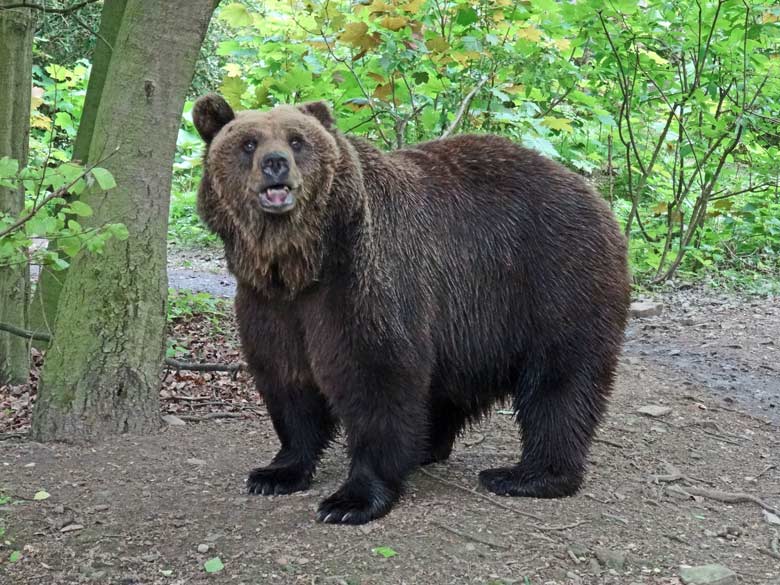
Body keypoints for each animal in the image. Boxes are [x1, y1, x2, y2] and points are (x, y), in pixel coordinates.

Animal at [192, 92, 632, 524]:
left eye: (297, 140)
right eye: (248, 143)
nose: (276, 163)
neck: (302, 264)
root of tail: (595, 196)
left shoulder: (363, 281)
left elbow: (376, 374)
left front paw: (352, 498)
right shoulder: (270, 303)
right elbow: (286, 379)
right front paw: (276, 472)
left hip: (553, 279)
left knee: (558, 383)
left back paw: (528, 474)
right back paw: (427, 447)